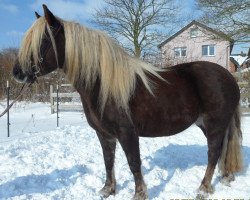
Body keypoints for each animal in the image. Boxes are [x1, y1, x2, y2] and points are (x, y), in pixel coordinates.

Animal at [12, 4, 243, 198]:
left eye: (43, 41)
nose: (17, 74)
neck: (104, 85)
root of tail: (228, 77)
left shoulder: (127, 133)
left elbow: (134, 163)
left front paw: (139, 193)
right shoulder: (104, 134)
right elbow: (108, 161)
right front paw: (108, 190)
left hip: (214, 125)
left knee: (213, 153)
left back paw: (203, 188)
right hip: (207, 124)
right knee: (221, 150)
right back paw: (225, 176)